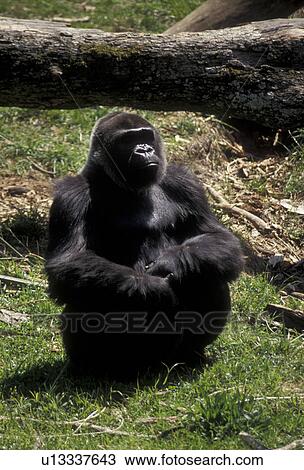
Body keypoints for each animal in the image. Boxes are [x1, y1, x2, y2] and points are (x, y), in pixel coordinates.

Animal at [45, 111, 245, 378]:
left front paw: (173, 262)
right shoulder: (71, 196)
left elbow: (218, 238)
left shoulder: (184, 182)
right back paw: (96, 368)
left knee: (207, 271)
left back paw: (191, 355)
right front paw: (153, 286)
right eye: (128, 140)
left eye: (145, 136)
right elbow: (67, 264)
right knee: (85, 289)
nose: (144, 149)